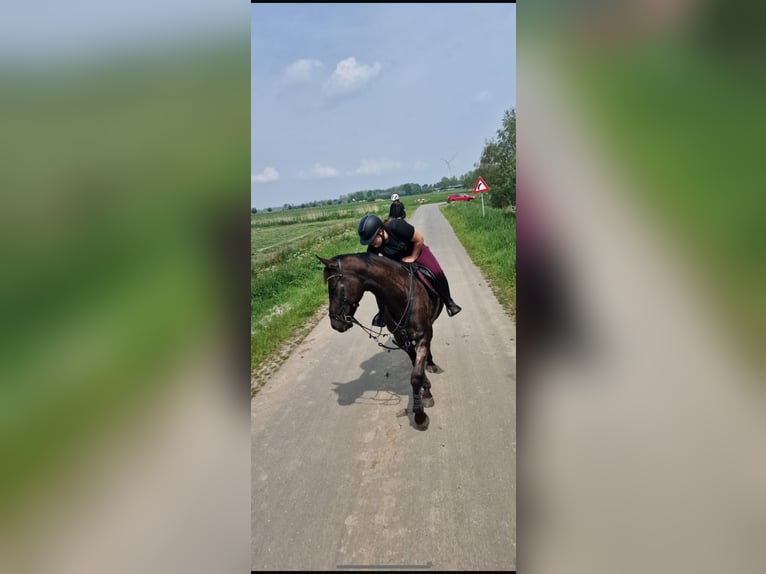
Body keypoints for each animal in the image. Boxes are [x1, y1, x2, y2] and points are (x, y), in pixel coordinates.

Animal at [318, 254, 448, 430]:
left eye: (332, 287)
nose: (335, 323)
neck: (402, 297)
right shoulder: (402, 340)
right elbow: (416, 367)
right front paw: (425, 391)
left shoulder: (422, 337)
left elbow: (416, 375)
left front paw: (420, 414)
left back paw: (431, 362)